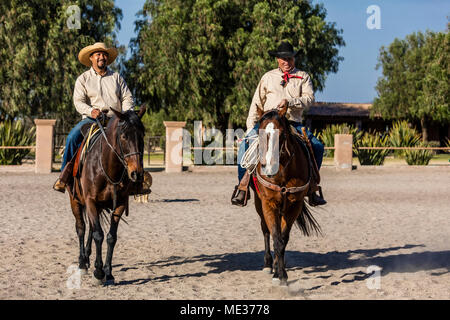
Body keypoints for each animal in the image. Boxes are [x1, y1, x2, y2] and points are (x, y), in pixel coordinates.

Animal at [66, 105, 146, 284]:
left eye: (142, 135)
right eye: (123, 136)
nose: (136, 173)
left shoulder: (120, 204)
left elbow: (110, 237)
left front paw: (108, 272)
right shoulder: (90, 201)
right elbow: (98, 235)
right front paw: (98, 272)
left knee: (90, 228)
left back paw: (87, 257)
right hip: (75, 201)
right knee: (81, 228)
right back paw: (82, 262)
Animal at [253, 106, 320, 286]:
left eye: (282, 135)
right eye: (260, 132)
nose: (268, 168)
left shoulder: (294, 205)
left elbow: (283, 239)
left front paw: (281, 273)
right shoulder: (268, 204)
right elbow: (275, 237)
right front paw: (278, 274)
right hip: (259, 204)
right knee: (265, 230)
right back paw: (267, 264)